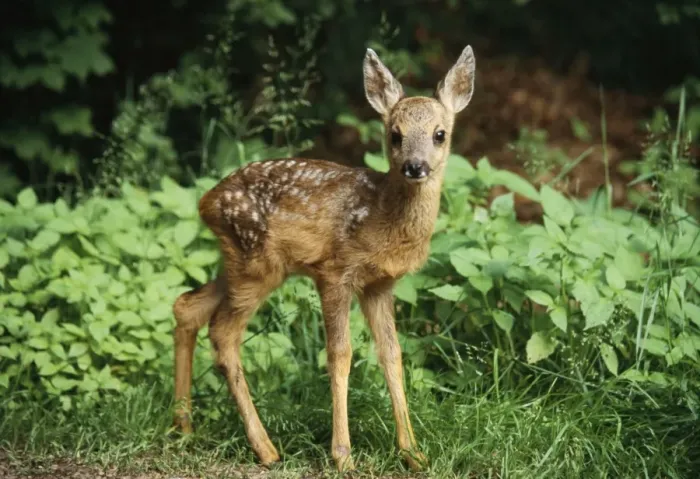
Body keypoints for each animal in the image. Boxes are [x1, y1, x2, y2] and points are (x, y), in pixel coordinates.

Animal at [171, 44, 476, 472]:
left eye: (440, 134)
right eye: (395, 134)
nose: (415, 167)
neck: (381, 214)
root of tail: (206, 203)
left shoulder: (379, 284)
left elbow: (392, 354)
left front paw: (414, 453)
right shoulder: (335, 272)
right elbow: (340, 354)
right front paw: (343, 455)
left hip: (241, 263)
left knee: (187, 307)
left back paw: (183, 426)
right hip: (255, 265)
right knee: (223, 333)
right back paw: (265, 448)